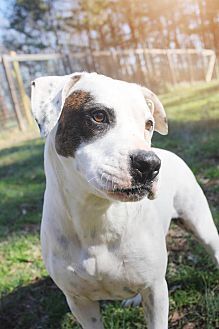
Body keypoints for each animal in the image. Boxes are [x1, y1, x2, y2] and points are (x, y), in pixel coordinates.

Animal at [31, 72, 219, 328]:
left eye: (148, 124)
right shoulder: (80, 302)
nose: (150, 164)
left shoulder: (156, 290)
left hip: (201, 225)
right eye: (98, 116)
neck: (97, 216)